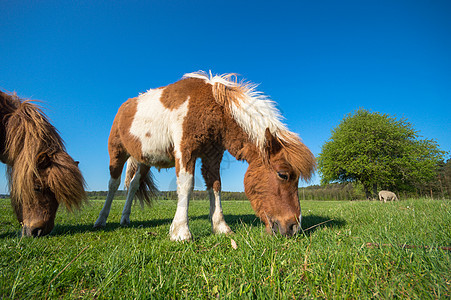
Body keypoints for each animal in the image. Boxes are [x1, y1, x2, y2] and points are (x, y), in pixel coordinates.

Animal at [93, 71, 316, 240]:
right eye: (283, 174)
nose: (294, 227)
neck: (214, 107)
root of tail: (125, 106)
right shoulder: (186, 150)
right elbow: (186, 185)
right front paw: (181, 231)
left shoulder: (212, 156)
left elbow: (215, 186)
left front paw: (220, 227)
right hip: (117, 153)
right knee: (113, 185)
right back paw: (101, 219)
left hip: (143, 160)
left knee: (133, 185)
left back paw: (125, 218)